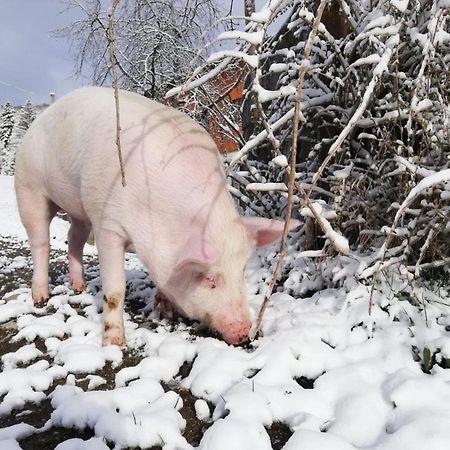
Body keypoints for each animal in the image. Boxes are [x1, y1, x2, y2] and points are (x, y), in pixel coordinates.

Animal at [14, 89, 296, 348]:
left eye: (242, 270)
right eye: (208, 278)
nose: (244, 335)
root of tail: (40, 118)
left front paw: (164, 310)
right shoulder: (107, 221)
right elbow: (115, 290)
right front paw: (114, 344)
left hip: (78, 209)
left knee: (74, 237)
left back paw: (79, 287)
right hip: (29, 187)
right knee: (40, 241)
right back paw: (40, 298)